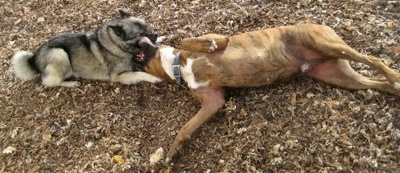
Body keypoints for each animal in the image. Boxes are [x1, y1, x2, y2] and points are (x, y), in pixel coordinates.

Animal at [10, 10, 161, 87]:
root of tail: (35, 59)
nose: (155, 34)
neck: (116, 43)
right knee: (49, 82)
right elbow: (140, 73)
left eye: (147, 26)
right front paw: (154, 78)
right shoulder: (119, 76)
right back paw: (71, 83)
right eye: (140, 34)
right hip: (60, 54)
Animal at [141, 23, 400, 163]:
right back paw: (394, 86)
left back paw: (394, 76)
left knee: (373, 59)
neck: (179, 66)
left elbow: (189, 39)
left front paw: (203, 45)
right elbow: (186, 128)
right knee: (376, 82)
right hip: (339, 75)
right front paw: (173, 151)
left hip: (325, 44)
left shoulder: (220, 39)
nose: (143, 39)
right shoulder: (213, 102)